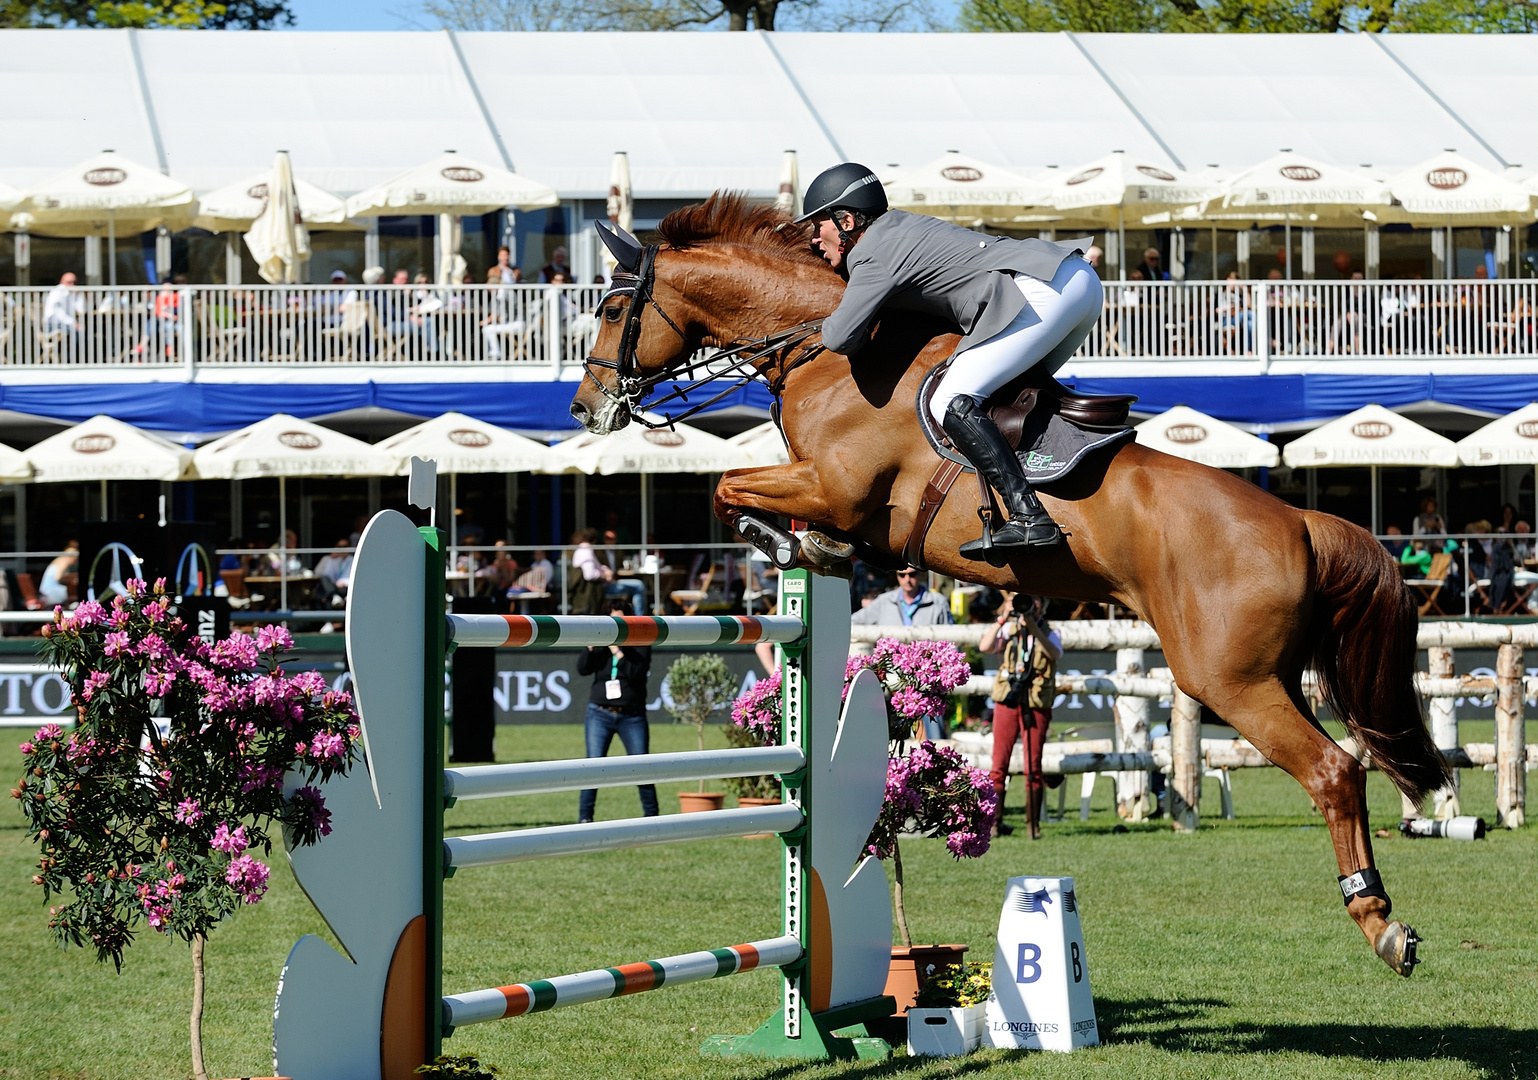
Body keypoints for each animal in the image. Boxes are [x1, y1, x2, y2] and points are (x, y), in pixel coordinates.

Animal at [565, 196, 1439, 984]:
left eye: (610, 309)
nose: (586, 408)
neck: (828, 353)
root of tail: (1298, 518)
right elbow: (743, 490)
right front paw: (812, 547)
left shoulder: (833, 485)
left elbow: (725, 484)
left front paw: (789, 542)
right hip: (1272, 673)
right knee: (1343, 764)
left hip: (1229, 678)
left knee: (1334, 773)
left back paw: (1382, 923)